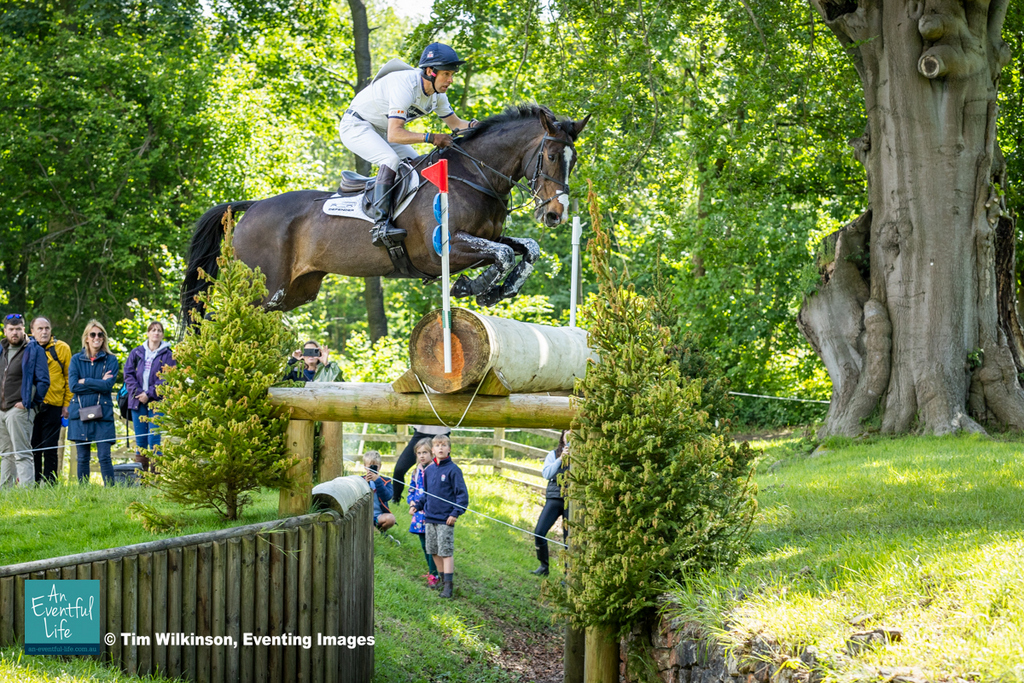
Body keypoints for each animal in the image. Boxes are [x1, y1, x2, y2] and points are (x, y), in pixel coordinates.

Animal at [179, 104, 590, 324]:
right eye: (551, 156)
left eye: (573, 160)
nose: (556, 214)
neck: (475, 176)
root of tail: (252, 207)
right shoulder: (444, 249)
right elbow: (503, 254)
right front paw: (471, 287)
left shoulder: (484, 238)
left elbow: (526, 249)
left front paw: (499, 290)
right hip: (261, 288)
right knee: (216, 320)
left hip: (293, 292)